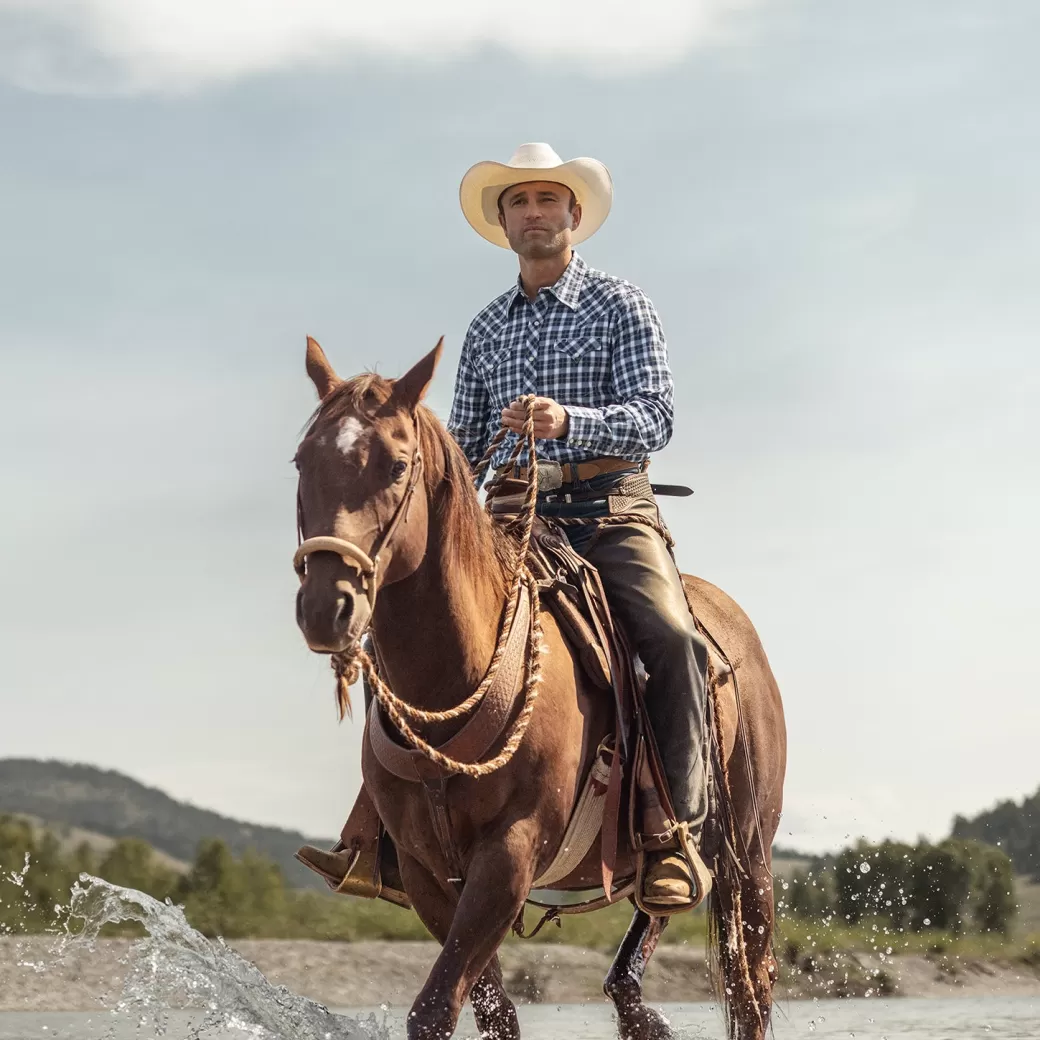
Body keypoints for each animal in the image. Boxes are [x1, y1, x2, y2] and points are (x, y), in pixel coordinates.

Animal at [289, 336, 782, 1035]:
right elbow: (490, 1008)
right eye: (302, 461)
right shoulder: (424, 870)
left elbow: (436, 1005)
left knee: (751, 988)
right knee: (646, 934)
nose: (326, 606)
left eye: (395, 465)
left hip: (753, 852)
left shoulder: (510, 855)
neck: (454, 681)